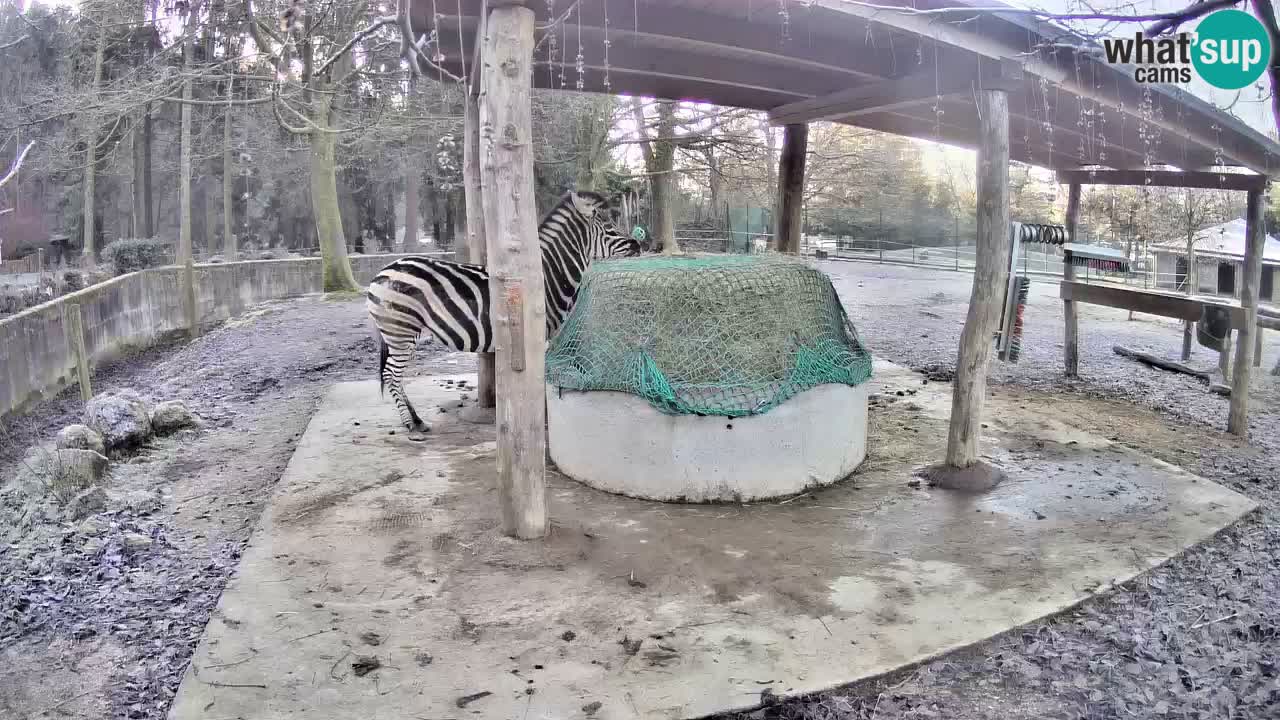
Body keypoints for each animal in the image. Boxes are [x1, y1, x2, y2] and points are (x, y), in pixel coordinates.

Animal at [363, 188, 640, 427]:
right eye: (609, 226)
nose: (638, 245)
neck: (547, 276)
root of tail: (382, 272)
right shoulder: (540, 334)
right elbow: (538, 380)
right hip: (400, 330)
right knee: (390, 375)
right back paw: (410, 425)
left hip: (399, 334)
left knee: (395, 376)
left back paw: (416, 419)